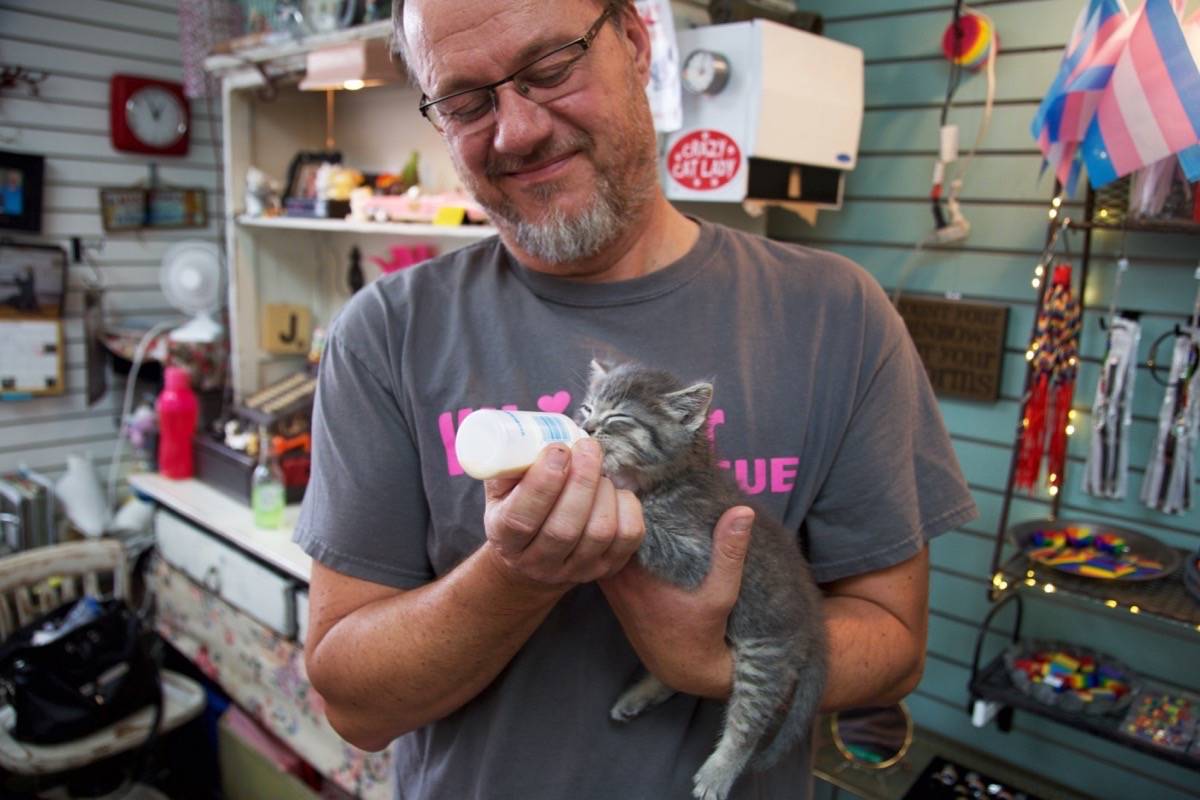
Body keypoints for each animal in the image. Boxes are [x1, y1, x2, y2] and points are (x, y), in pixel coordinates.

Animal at [578, 362, 825, 800]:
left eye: (618, 417)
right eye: (588, 408)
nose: (585, 428)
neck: (673, 476)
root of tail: (814, 622)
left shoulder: (697, 554)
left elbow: (645, 523)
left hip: (766, 650)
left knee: (749, 719)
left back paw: (719, 771)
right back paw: (638, 696)